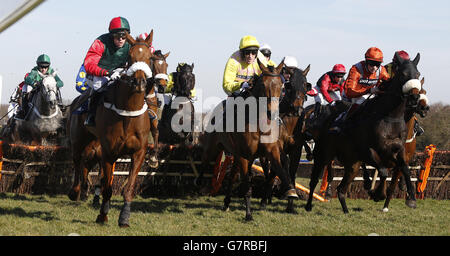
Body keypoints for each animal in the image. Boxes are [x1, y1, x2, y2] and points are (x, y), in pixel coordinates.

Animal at [304, 53, 424, 213]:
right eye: (403, 74)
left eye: (417, 74)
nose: (415, 98)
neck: (390, 117)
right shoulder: (369, 150)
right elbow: (383, 171)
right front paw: (376, 193)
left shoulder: (399, 150)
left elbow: (404, 168)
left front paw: (411, 198)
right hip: (324, 154)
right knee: (314, 180)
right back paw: (309, 205)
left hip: (351, 164)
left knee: (341, 189)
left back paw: (346, 211)